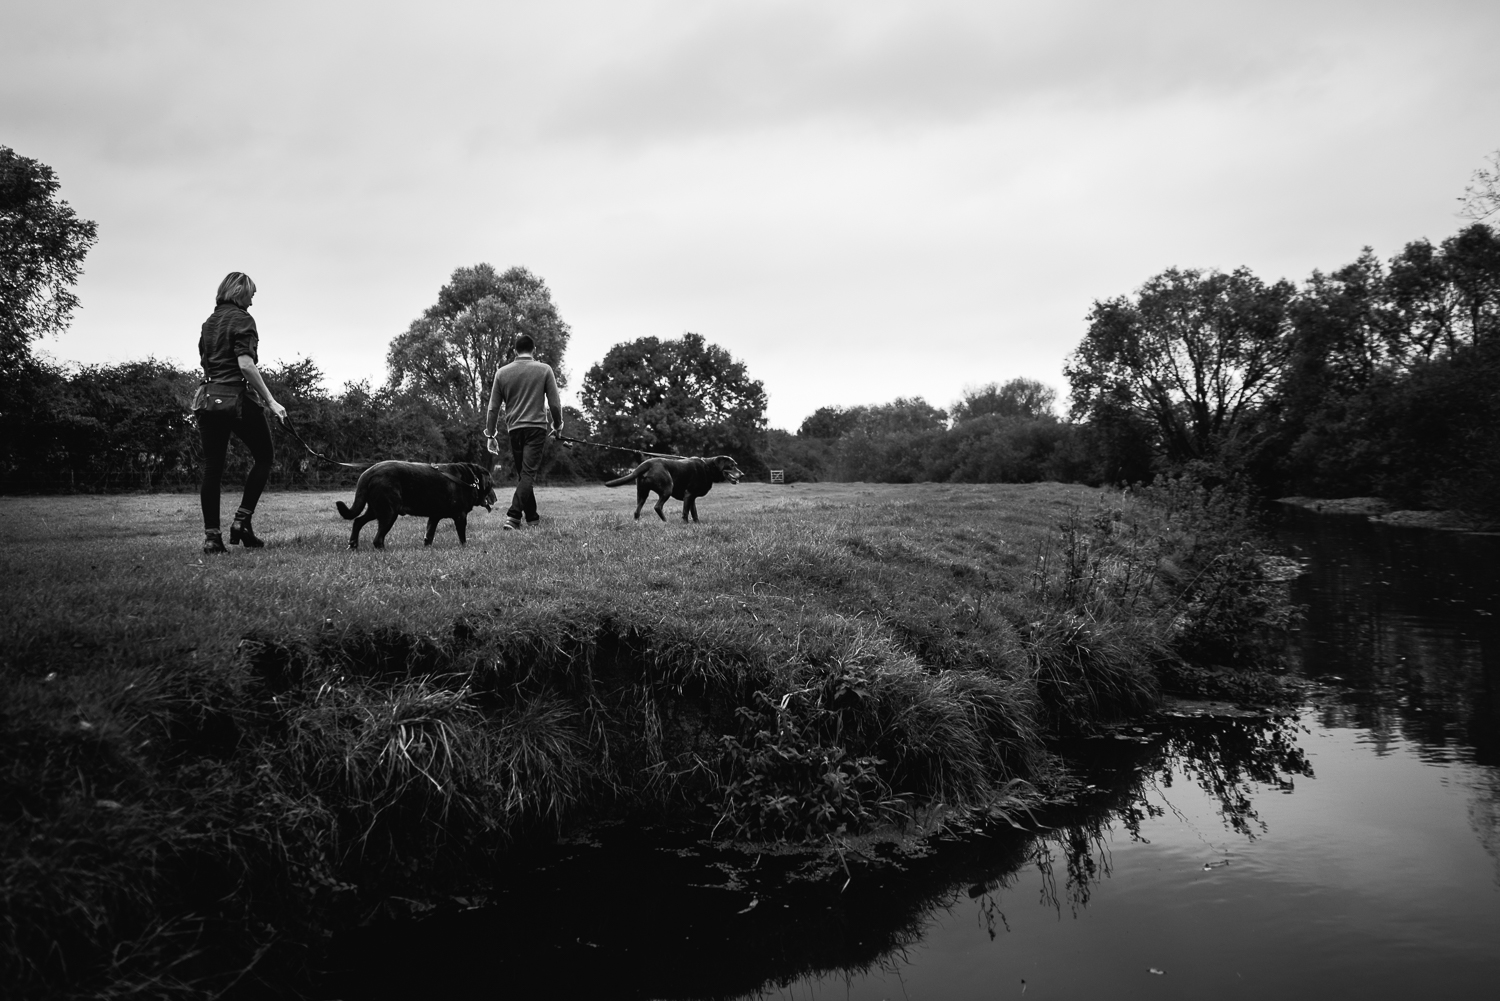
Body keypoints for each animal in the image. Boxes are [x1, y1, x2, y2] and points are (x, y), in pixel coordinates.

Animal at [336, 462, 495, 549]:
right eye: (491, 484)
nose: (496, 497)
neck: (471, 480)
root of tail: (368, 473)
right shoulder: (460, 516)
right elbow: (462, 537)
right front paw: (464, 547)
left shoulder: (434, 516)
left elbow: (429, 535)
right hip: (389, 512)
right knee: (377, 539)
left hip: (375, 509)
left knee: (357, 521)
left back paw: (353, 544)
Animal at [603, 453, 744, 516]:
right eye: (732, 465)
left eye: (736, 464)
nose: (742, 474)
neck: (708, 468)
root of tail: (646, 464)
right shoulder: (689, 495)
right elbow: (685, 513)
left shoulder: (692, 498)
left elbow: (694, 513)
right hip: (667, 488)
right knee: (657, 507)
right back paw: (665, 521)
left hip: (642, 493)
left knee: (637, 511)